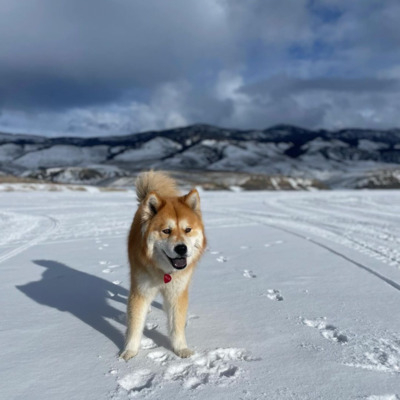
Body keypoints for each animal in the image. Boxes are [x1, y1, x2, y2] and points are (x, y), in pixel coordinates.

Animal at [120, 170, 206, 360]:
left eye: (188, 230)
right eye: (166, 231)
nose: (181, 248)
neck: (164, 272)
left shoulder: (177, 292)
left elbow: (176, 325)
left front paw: (181, 349)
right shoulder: (141, 290)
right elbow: (135, 325)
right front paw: (130, 351)